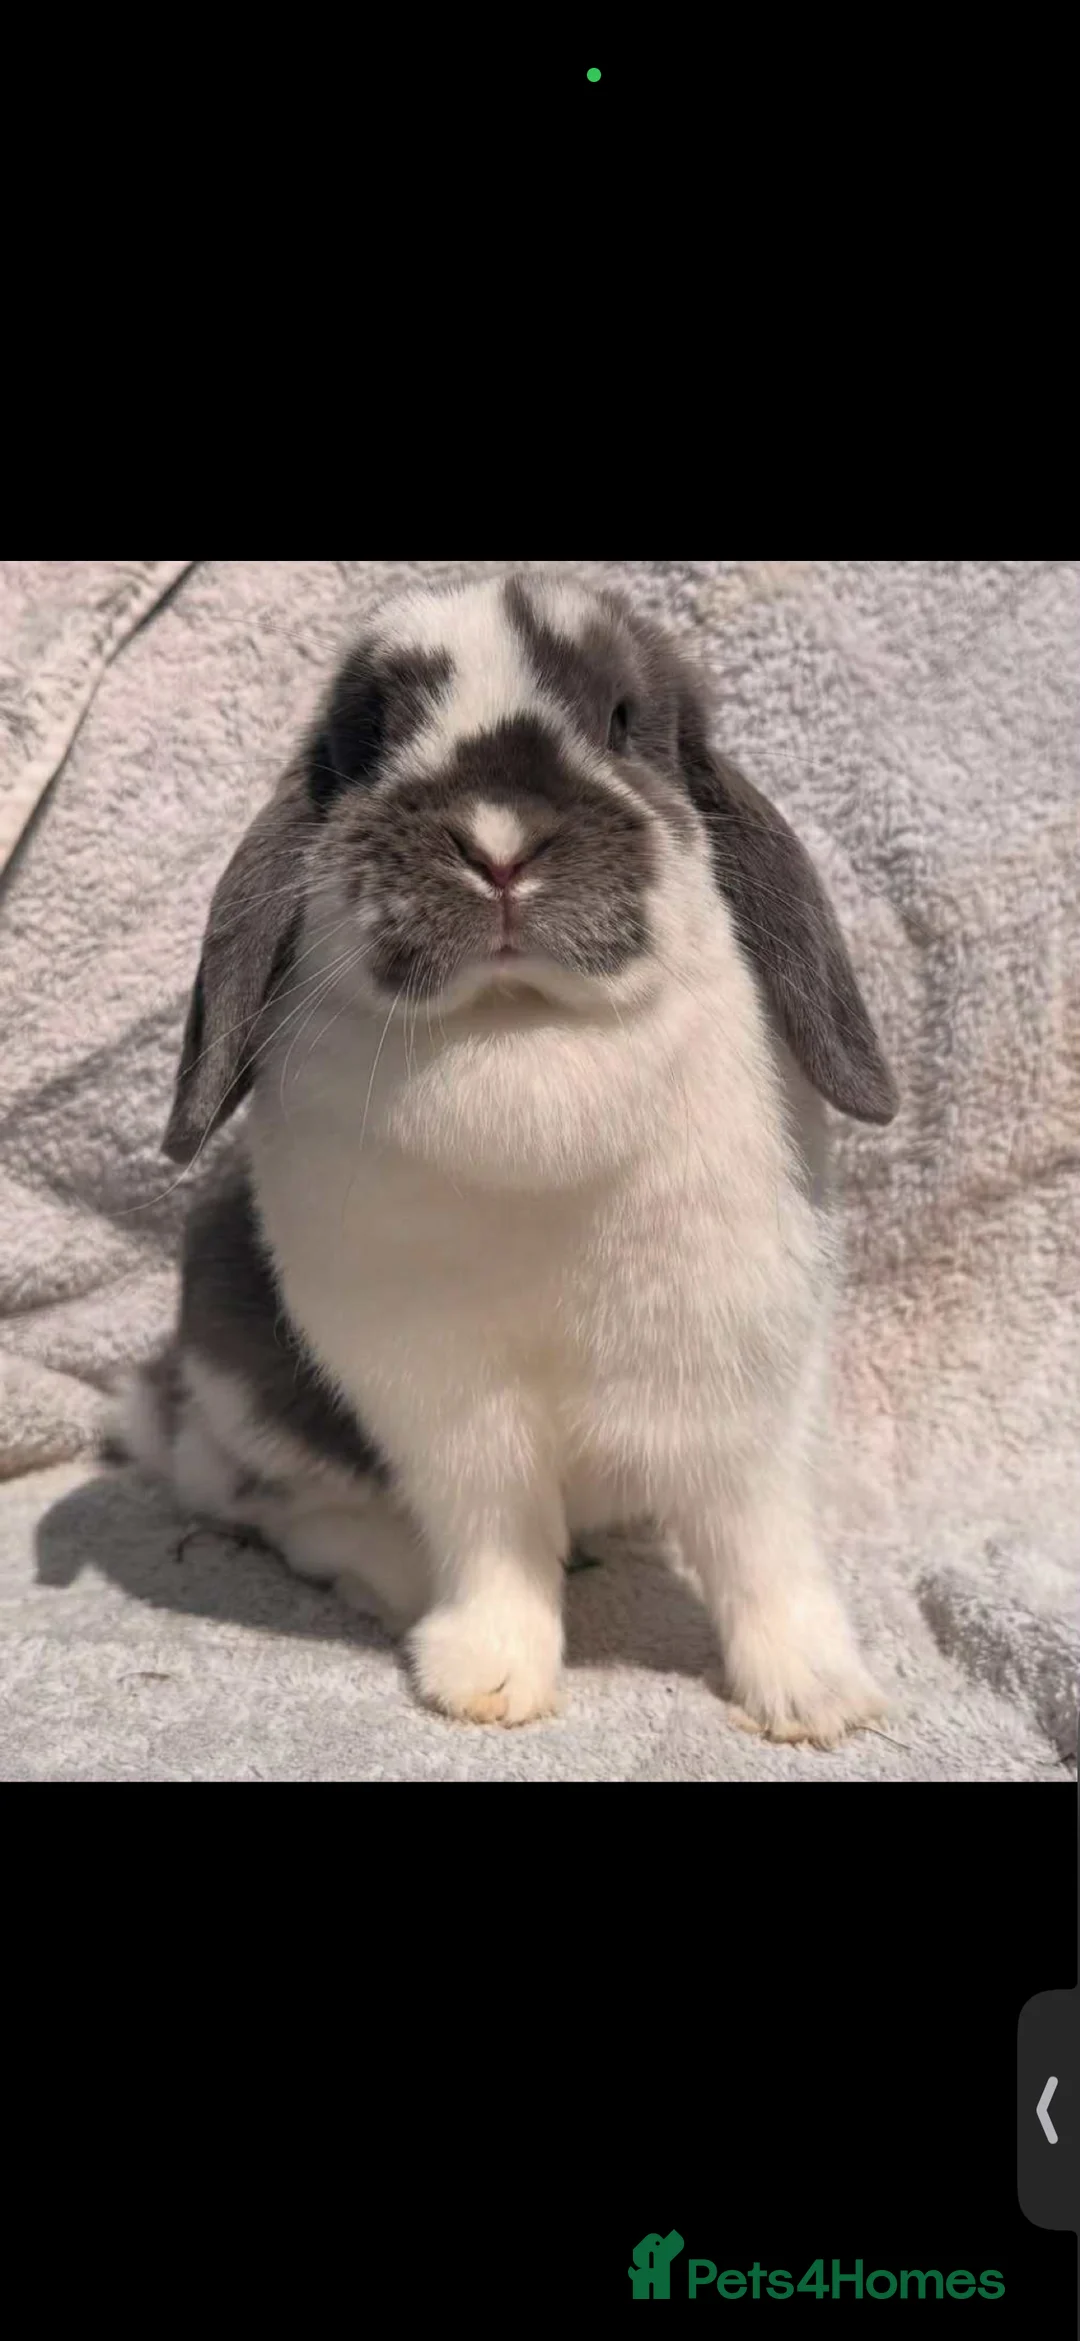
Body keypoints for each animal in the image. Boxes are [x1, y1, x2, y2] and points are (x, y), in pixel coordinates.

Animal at [107, 570, 899, 1744]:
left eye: (622, 720)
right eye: (371, 739)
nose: (498, 843)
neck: (520, 1030)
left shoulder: (740, 1379)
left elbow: (758, 1541)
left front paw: (817, 1697)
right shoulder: (451, 1411)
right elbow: (494, 1541)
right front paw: (487, 1681)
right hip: (238, 1379)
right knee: (265, 1499)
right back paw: (386, 1572)